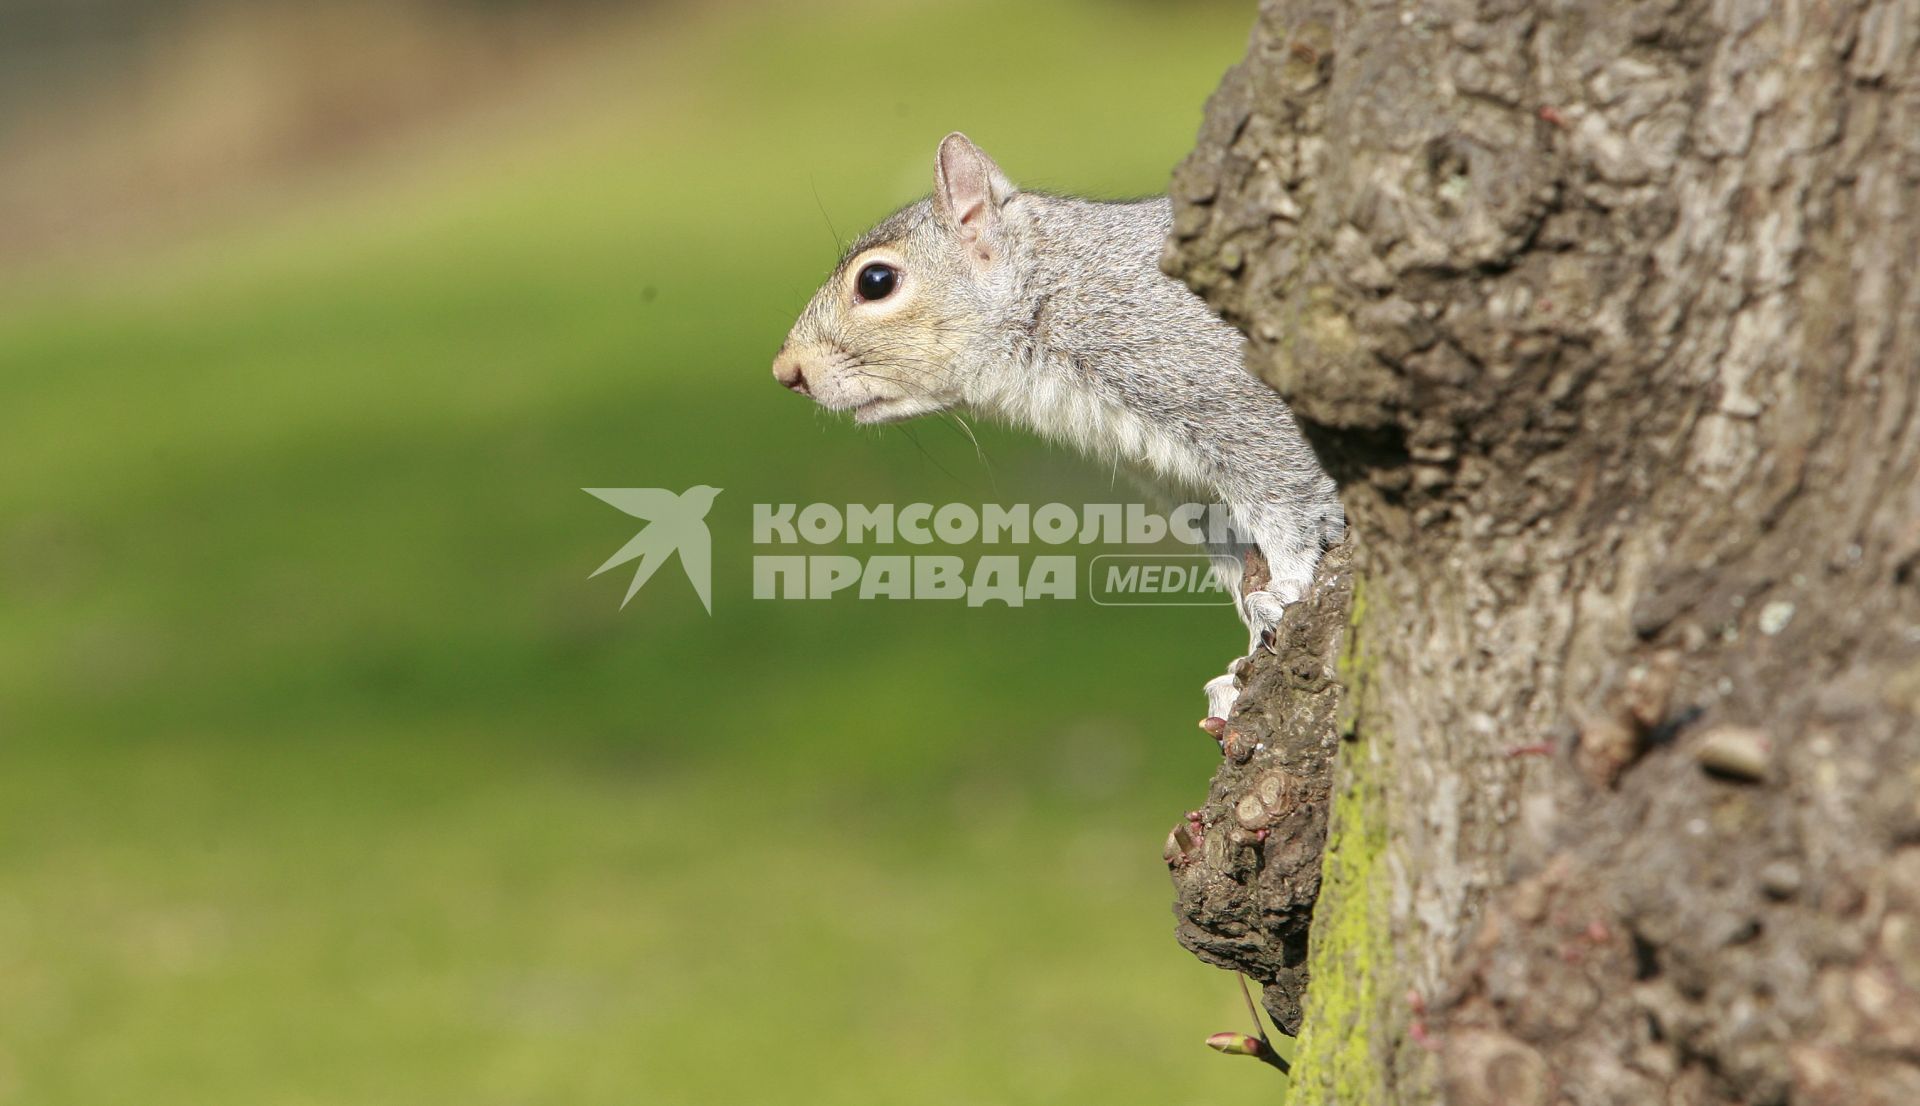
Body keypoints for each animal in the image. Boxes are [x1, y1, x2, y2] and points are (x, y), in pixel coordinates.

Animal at [771, 134, 1344, 721]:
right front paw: (1240, 665)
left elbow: (1291, 503)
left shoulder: (1239, 403)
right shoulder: (1188, 486)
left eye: (876, 281)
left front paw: (1286, 590)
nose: (786, 372)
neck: (1058, 291)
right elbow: (1235, 553)